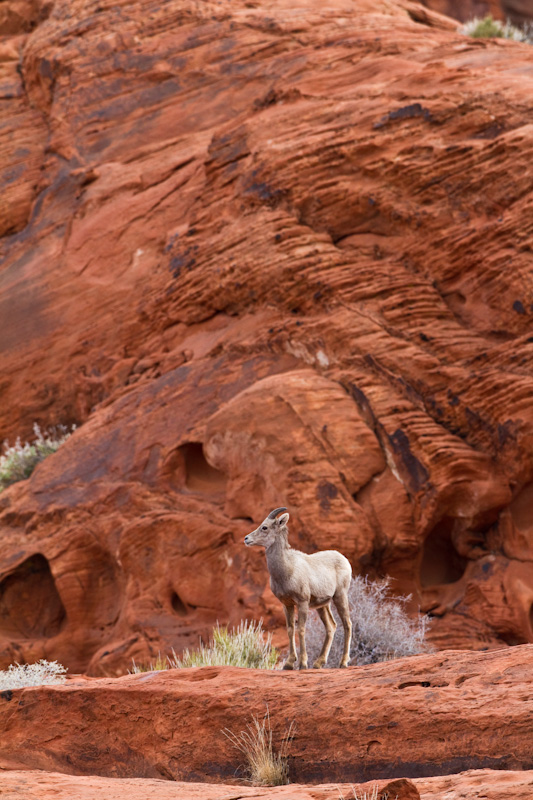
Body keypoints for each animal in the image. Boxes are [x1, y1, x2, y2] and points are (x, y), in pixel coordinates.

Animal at [245, 506, 354, 668]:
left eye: (264, 527)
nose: (246, 539)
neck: (287, 571)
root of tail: (343, 559)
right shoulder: (287, 604)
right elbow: (290, 630)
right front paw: (289, 664)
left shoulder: (302, 602)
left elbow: (301, 630)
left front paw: (302, 663)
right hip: (323, 605)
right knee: (331, 626)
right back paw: (318, 663)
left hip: (340, 596)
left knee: (347, 624)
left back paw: (343, 662)